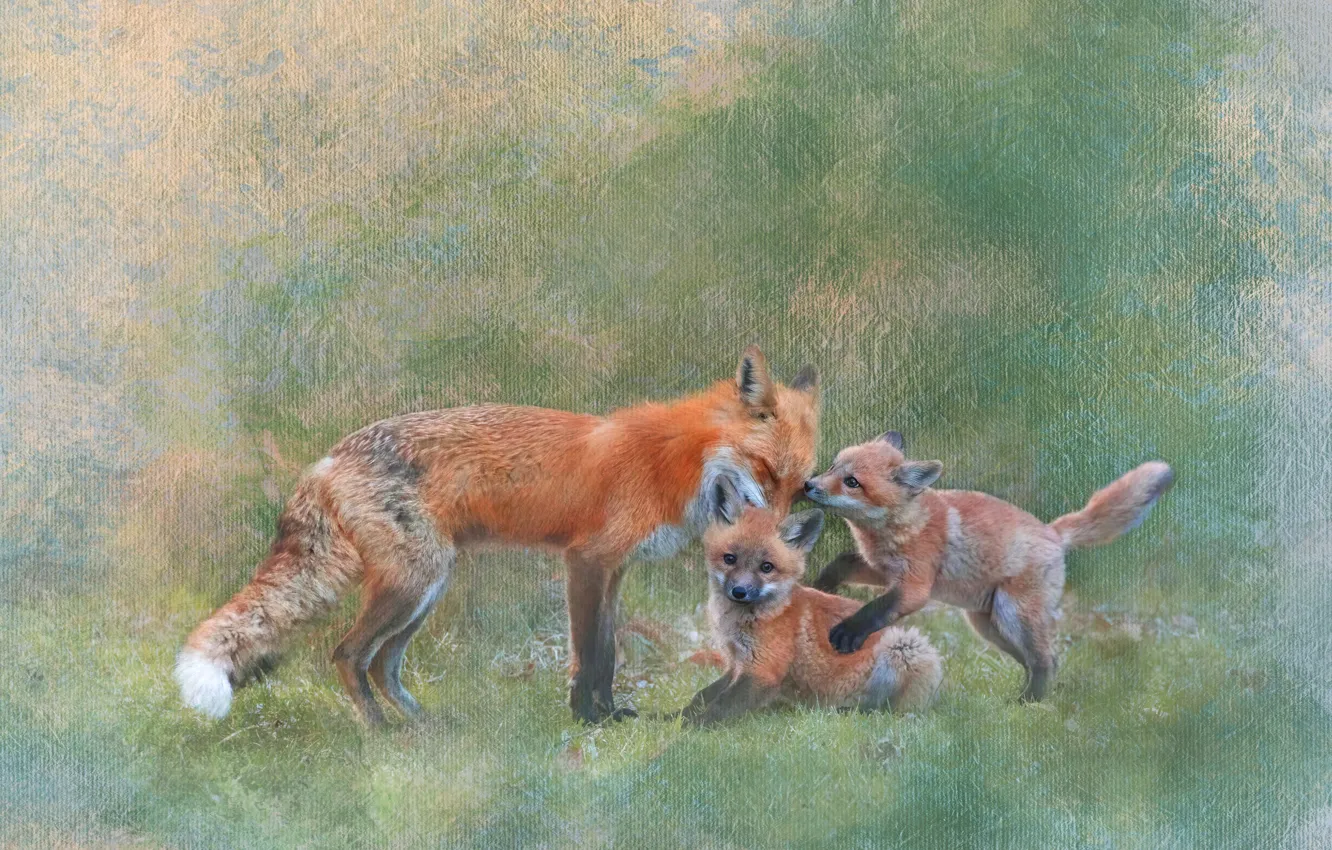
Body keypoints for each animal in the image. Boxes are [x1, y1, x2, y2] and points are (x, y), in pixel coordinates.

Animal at [175, 346, 820, 726]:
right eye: (767, 474)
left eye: (800, 486)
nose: (775, 539)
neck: (675, 464)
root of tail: (329, 458)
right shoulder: (586, 561)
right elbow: (591, 655)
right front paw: (587, 720)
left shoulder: (614, 570)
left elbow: (607, 653)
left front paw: (610, 716)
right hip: (412, 584)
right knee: (348, 655)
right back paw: (382, 737)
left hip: (426, 587)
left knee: (382, 665)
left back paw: (427, 728)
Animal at [673, 478, 942, 726]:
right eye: (730, 559)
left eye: (766, 567)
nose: (739, 592)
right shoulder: (737, 663)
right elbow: (702, 696)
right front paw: (672, 717)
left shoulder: (764, 671)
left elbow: (720, 706)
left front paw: (689, 728)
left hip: (905, 645)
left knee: (883, 711)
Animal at [802, 430, 1174, 702]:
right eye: (834, 467)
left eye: (852, 482)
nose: (807, 484)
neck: (903, 526)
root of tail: (1053, 532)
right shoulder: (881, 570)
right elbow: (840, 564)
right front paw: (820, 589)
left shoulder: (915, 587)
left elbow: (876, 609)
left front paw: (847, 632)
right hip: (989, 627)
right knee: (1036, 661)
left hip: (1013, 615)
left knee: (1047, 660)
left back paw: (1028, 703)